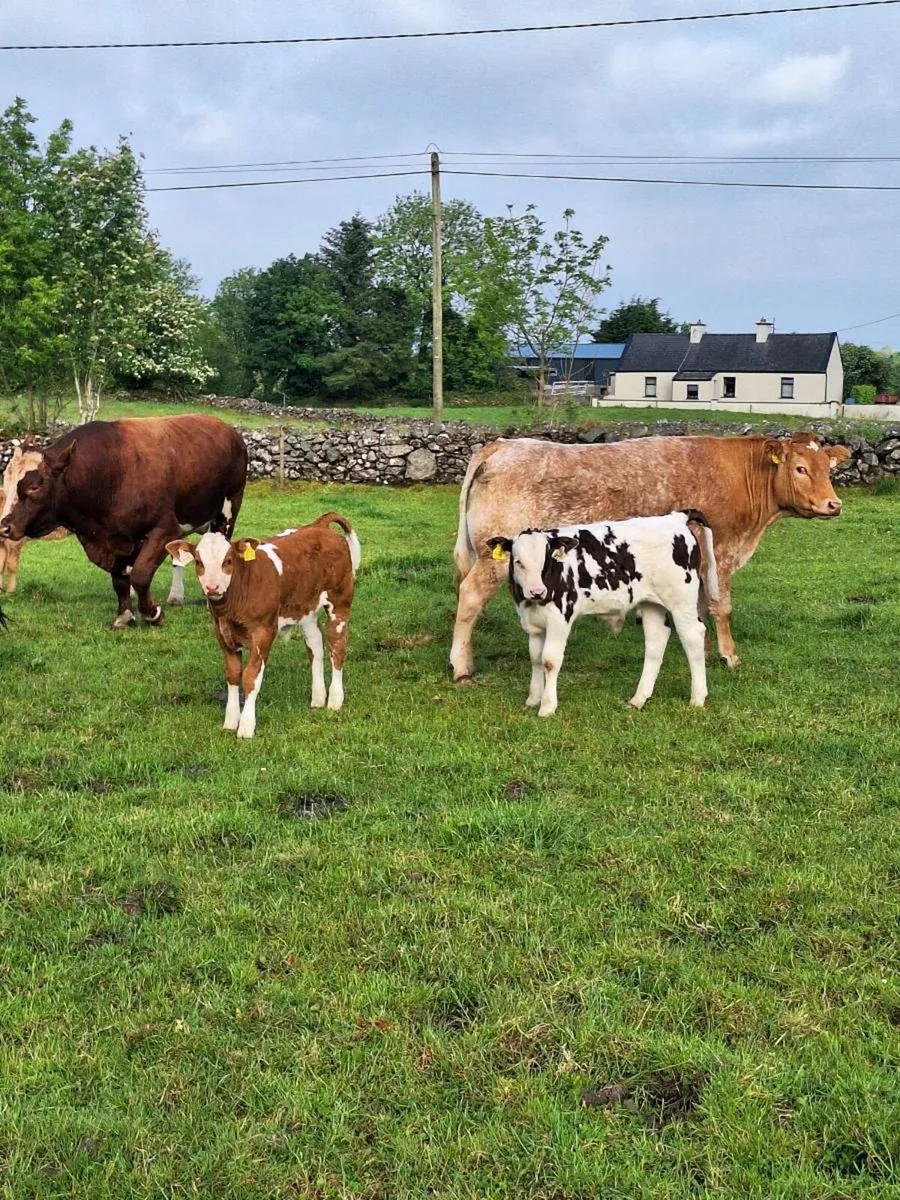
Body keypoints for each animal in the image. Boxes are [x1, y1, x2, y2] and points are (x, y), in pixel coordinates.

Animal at [165, 513, 360, 739]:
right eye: (198, 562)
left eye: (228, 560)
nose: (212, 588)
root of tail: (320, 526)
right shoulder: (222, 632)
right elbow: (233, 674)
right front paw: (230, 721)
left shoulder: (264, 631)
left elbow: (251, 677)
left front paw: (246, 727)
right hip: (306, 610)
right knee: (316, 647)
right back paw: (318, 698)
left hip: (340, 601)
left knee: (336, 648)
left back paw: (335, 701)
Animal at [451, 433, 851, 682]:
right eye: (800, 468)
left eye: (828, 468)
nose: (833, 504)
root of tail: (501, 445)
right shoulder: (720, 553)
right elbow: (721, 607)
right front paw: (729, 656)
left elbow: (699, 607)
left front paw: (704, 650)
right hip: (495, 558)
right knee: (469, 597)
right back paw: (461, 667)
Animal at [488, 511, 718, 716]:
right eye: (518, 562)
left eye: (547, 560)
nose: (537, 591)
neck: (531, 602)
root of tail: (676, 517)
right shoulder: (533, 622)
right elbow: (535, 658)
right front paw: (533, 699)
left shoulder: (560, 617)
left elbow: (550, 661)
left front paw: (547, 707)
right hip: (651, 603)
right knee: (656, 640)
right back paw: (638, 699)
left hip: (682, 601)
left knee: (693, 637)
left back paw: (698, 698)